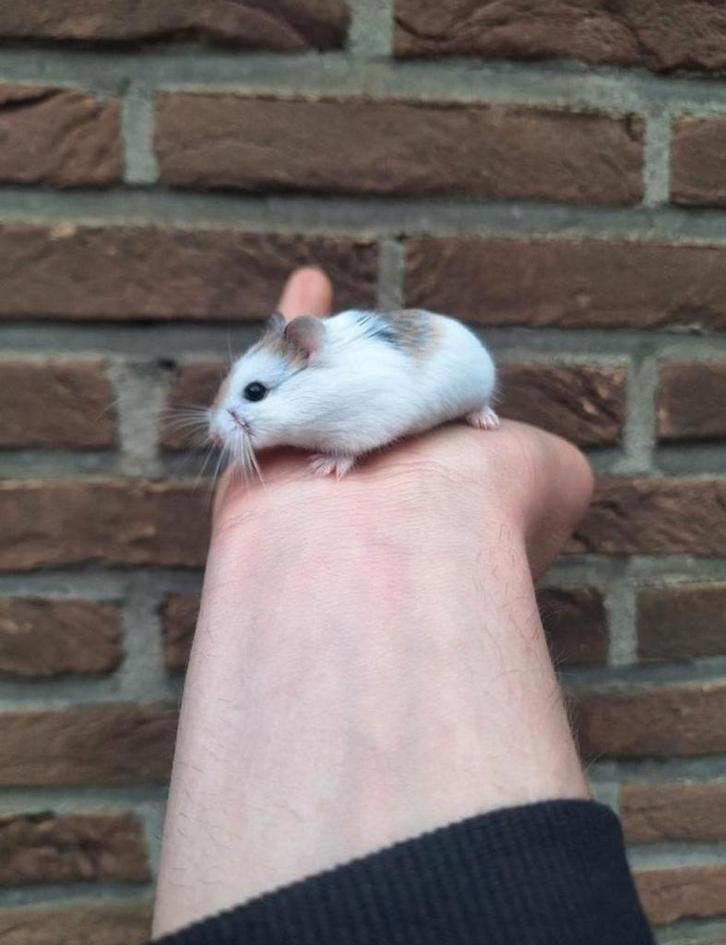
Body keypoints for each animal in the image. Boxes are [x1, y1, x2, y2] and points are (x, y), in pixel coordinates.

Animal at [209, 308, 499, 479]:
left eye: (254, 391)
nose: (214, 436)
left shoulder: (362, 428)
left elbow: (346, 453)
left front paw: (322, 466)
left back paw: (487, 422)